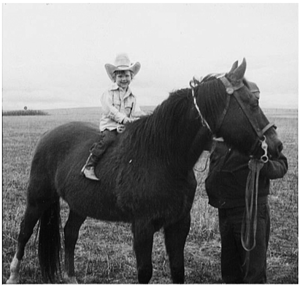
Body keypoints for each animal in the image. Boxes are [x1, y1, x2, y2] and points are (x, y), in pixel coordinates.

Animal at [7, 58, 284, 284]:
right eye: (253, 102)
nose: (276, 146)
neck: (164, 158)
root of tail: (47, 136)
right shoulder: (142, 226)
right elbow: (145, 272)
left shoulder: (179, 224)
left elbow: (178, 269)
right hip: (38, 198)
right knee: (24, 232)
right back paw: (13, 275)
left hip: (79, 203)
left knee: (70, 233)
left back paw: (71, 277)